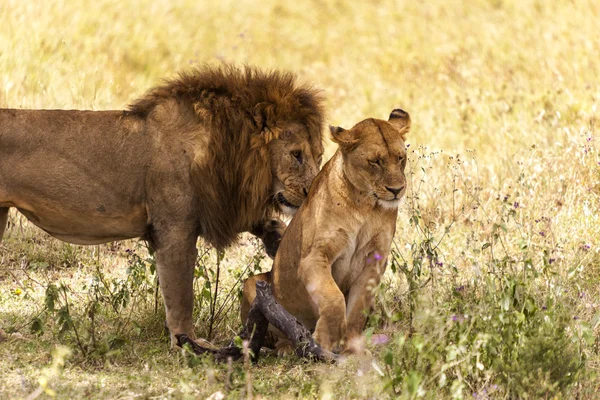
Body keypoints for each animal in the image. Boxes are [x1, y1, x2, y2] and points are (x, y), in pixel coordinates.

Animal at [0, 64, 326, 346]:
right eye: (296, 154)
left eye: (319, 155)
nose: (311, 193)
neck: (230, 151)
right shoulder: (175, 228)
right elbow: (180, 293)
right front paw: (188, 343)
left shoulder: (220, 202)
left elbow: (259, 221)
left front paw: (277, 239)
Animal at [241, 108, 410, 354]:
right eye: (375, 162)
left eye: (400, 158)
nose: (397, 189)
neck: (365, 205)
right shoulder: (315, 256)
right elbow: (333, 297)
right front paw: (323, 342)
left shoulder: (375, 260)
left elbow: (358, 308)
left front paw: (352, 349)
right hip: (253, 284)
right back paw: (288, 347)